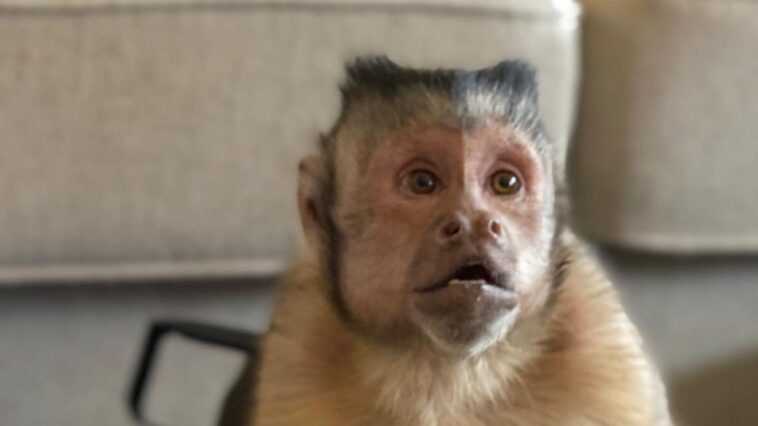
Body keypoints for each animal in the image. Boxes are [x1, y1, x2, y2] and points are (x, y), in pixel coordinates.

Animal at [238, 56, 673, 426]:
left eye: (505, 183)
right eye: (422, 182)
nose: (473, 223)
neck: (450, 377)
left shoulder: (609, 359)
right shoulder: (293, 364)